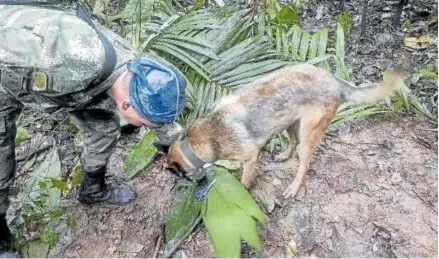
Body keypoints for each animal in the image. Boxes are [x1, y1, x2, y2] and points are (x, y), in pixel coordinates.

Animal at [166, 64, 406, 200]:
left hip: (308, 135)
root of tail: (335, 80)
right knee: (292, 142)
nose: (198, 186)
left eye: (181, 176)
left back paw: (294, 187)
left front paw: (242, 193)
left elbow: (244, 181)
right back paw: (284, 155)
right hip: (290, 122)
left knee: (304, 164)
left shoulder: (250, 157)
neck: (198, 142)